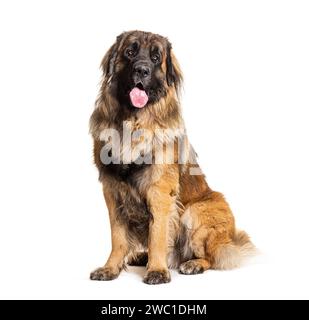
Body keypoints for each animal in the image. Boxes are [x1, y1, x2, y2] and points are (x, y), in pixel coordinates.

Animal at [88, 30, 253, 284]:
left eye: (156, 58)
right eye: (130, 52)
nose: (142, 70)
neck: (133, 122)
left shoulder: (160, 190)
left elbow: (157, 234)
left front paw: (157, 270)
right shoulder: (112, 190)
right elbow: (118, 237)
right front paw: (110, 268)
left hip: (198, 210)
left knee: (212, 257)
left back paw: (192, 264)